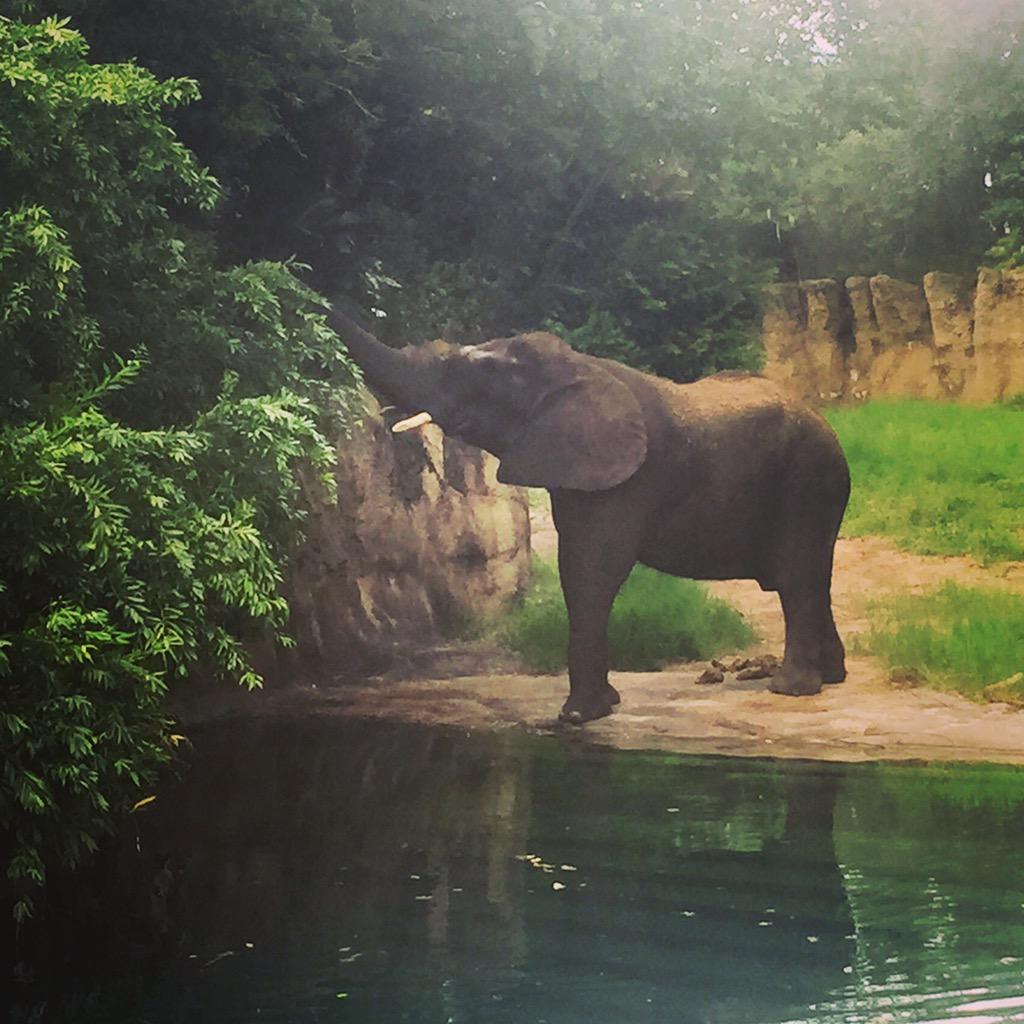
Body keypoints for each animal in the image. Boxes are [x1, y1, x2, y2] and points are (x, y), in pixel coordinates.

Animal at [327, 308, 850, 724]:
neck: (575, 365)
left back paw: (791, 689)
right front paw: (604, 705)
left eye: (469, 374)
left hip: (806, 481)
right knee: (811, 575)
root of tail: (831, 431)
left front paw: (580, 716)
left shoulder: (627, 479)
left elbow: (591, 570)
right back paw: (832, 676)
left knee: (796, 575)